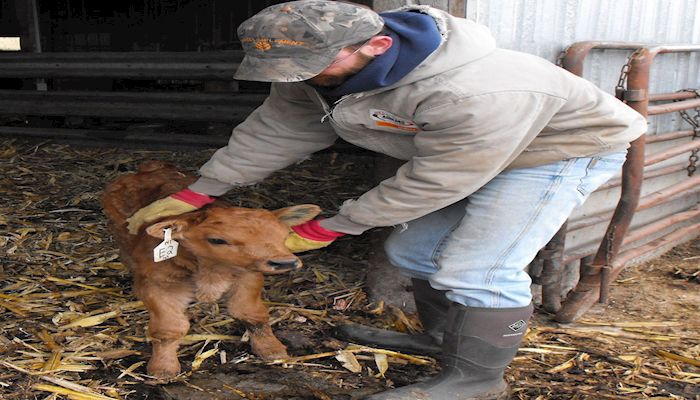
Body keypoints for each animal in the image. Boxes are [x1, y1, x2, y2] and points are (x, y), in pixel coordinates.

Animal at [101, 160, 320, 378]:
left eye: (284, 235)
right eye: (216, 240)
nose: (285, 262)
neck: (213, 273)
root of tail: (152, 167)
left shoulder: (249, 276)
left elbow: (252, 314)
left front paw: (271, 349)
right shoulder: (157, 285)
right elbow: (169, 329)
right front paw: (163, 367)